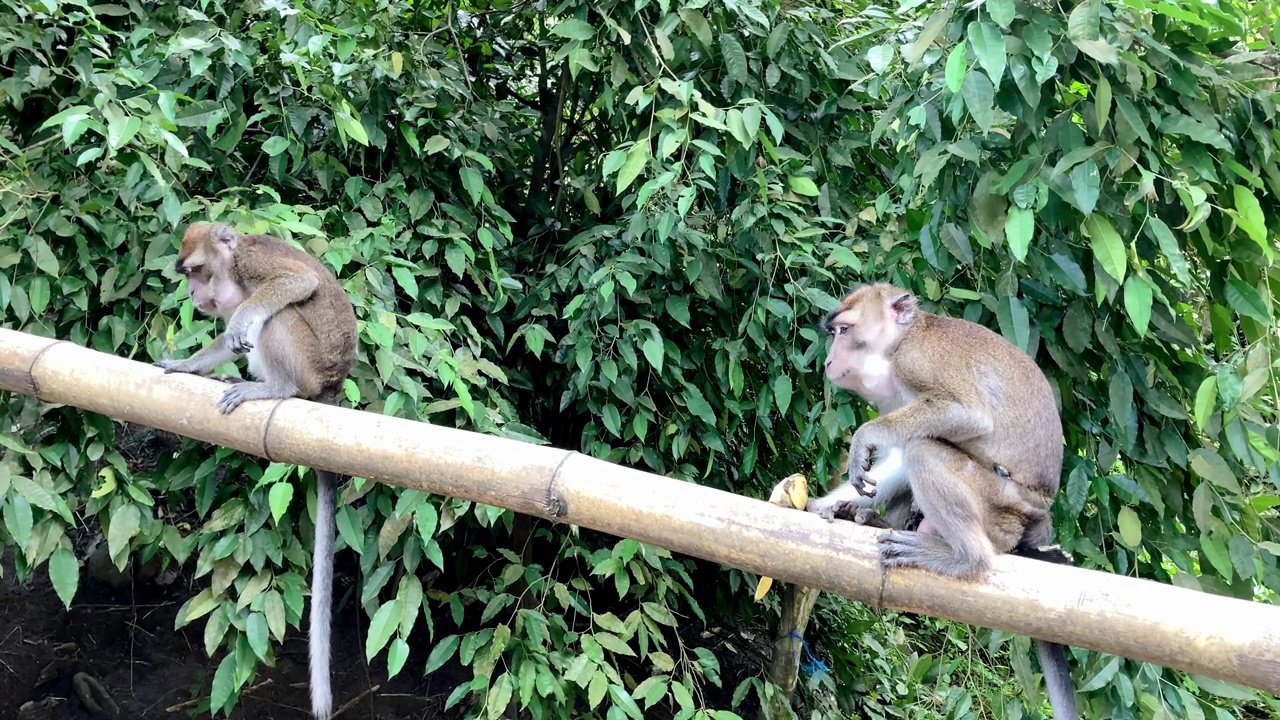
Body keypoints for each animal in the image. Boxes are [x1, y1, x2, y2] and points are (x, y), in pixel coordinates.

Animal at [155, 221, 358, 712]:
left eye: (196, 272)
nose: (192, 294)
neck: (234, 265)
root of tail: (332, 391)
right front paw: (186, 363)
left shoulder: (254, 266)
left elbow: (295, 284)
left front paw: (238, 321)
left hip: (309, 369)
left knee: (279, 314)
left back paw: (274, 388)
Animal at [808, 283, 1080, 717]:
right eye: (833, 333)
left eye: (844, 331)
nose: (830, 359)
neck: (901, 342)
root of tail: (1033, 525)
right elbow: (897, 455)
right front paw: (825, 504)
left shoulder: (916, 362)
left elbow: (967, 415)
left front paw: (864, 438)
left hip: (998, 507)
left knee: (925, 449)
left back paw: (963, 557)